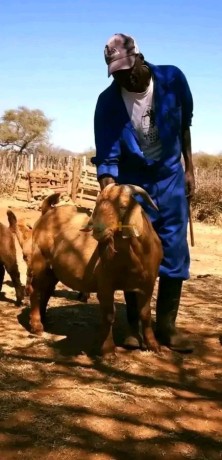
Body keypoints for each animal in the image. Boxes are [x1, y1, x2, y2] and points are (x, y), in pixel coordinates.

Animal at [28, 184, 162, 356]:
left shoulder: (147, 284)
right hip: (40, 261)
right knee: (35, 291)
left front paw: (154, 346)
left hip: (53, 270)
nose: (98, 230)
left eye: (123, 206)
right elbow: (108, 314)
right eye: (97, 205)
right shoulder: (105, 283)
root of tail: (47, 212)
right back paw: (36, 326)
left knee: (46, 290)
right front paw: (108, 349)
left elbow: (145, 314)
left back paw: (43, 317)